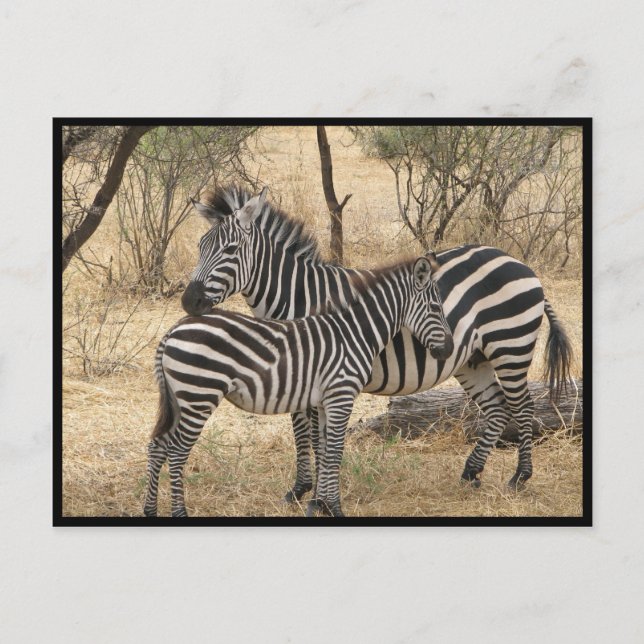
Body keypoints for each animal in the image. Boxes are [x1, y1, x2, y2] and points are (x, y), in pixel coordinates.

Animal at [144, 217, 453, 517]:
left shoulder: (327, 399)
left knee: (158, 445)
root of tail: (172, 331)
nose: (449, 349)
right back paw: (179, 513)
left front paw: (321, 504)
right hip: (199, 395)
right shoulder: (341, 394)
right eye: (436, 308)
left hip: (181, 398)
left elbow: (325, 448)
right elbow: (333, 450)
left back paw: (150, 509)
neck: (354, 330)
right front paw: (334, 508)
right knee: (176, 451)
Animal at [182, 185, 572, 501]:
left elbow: (314, 434)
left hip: (510, 347)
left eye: (231, 249)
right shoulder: (297, 374)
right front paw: (302, 490)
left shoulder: (317, 373)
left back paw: (519, 478)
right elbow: (301, 432)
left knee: (523, 407)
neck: (300, 297)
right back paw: (471, 473)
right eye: (200, 247)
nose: (190, 302)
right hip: (473, 360)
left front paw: (316, 493)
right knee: (496, 409)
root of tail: (516, 262)